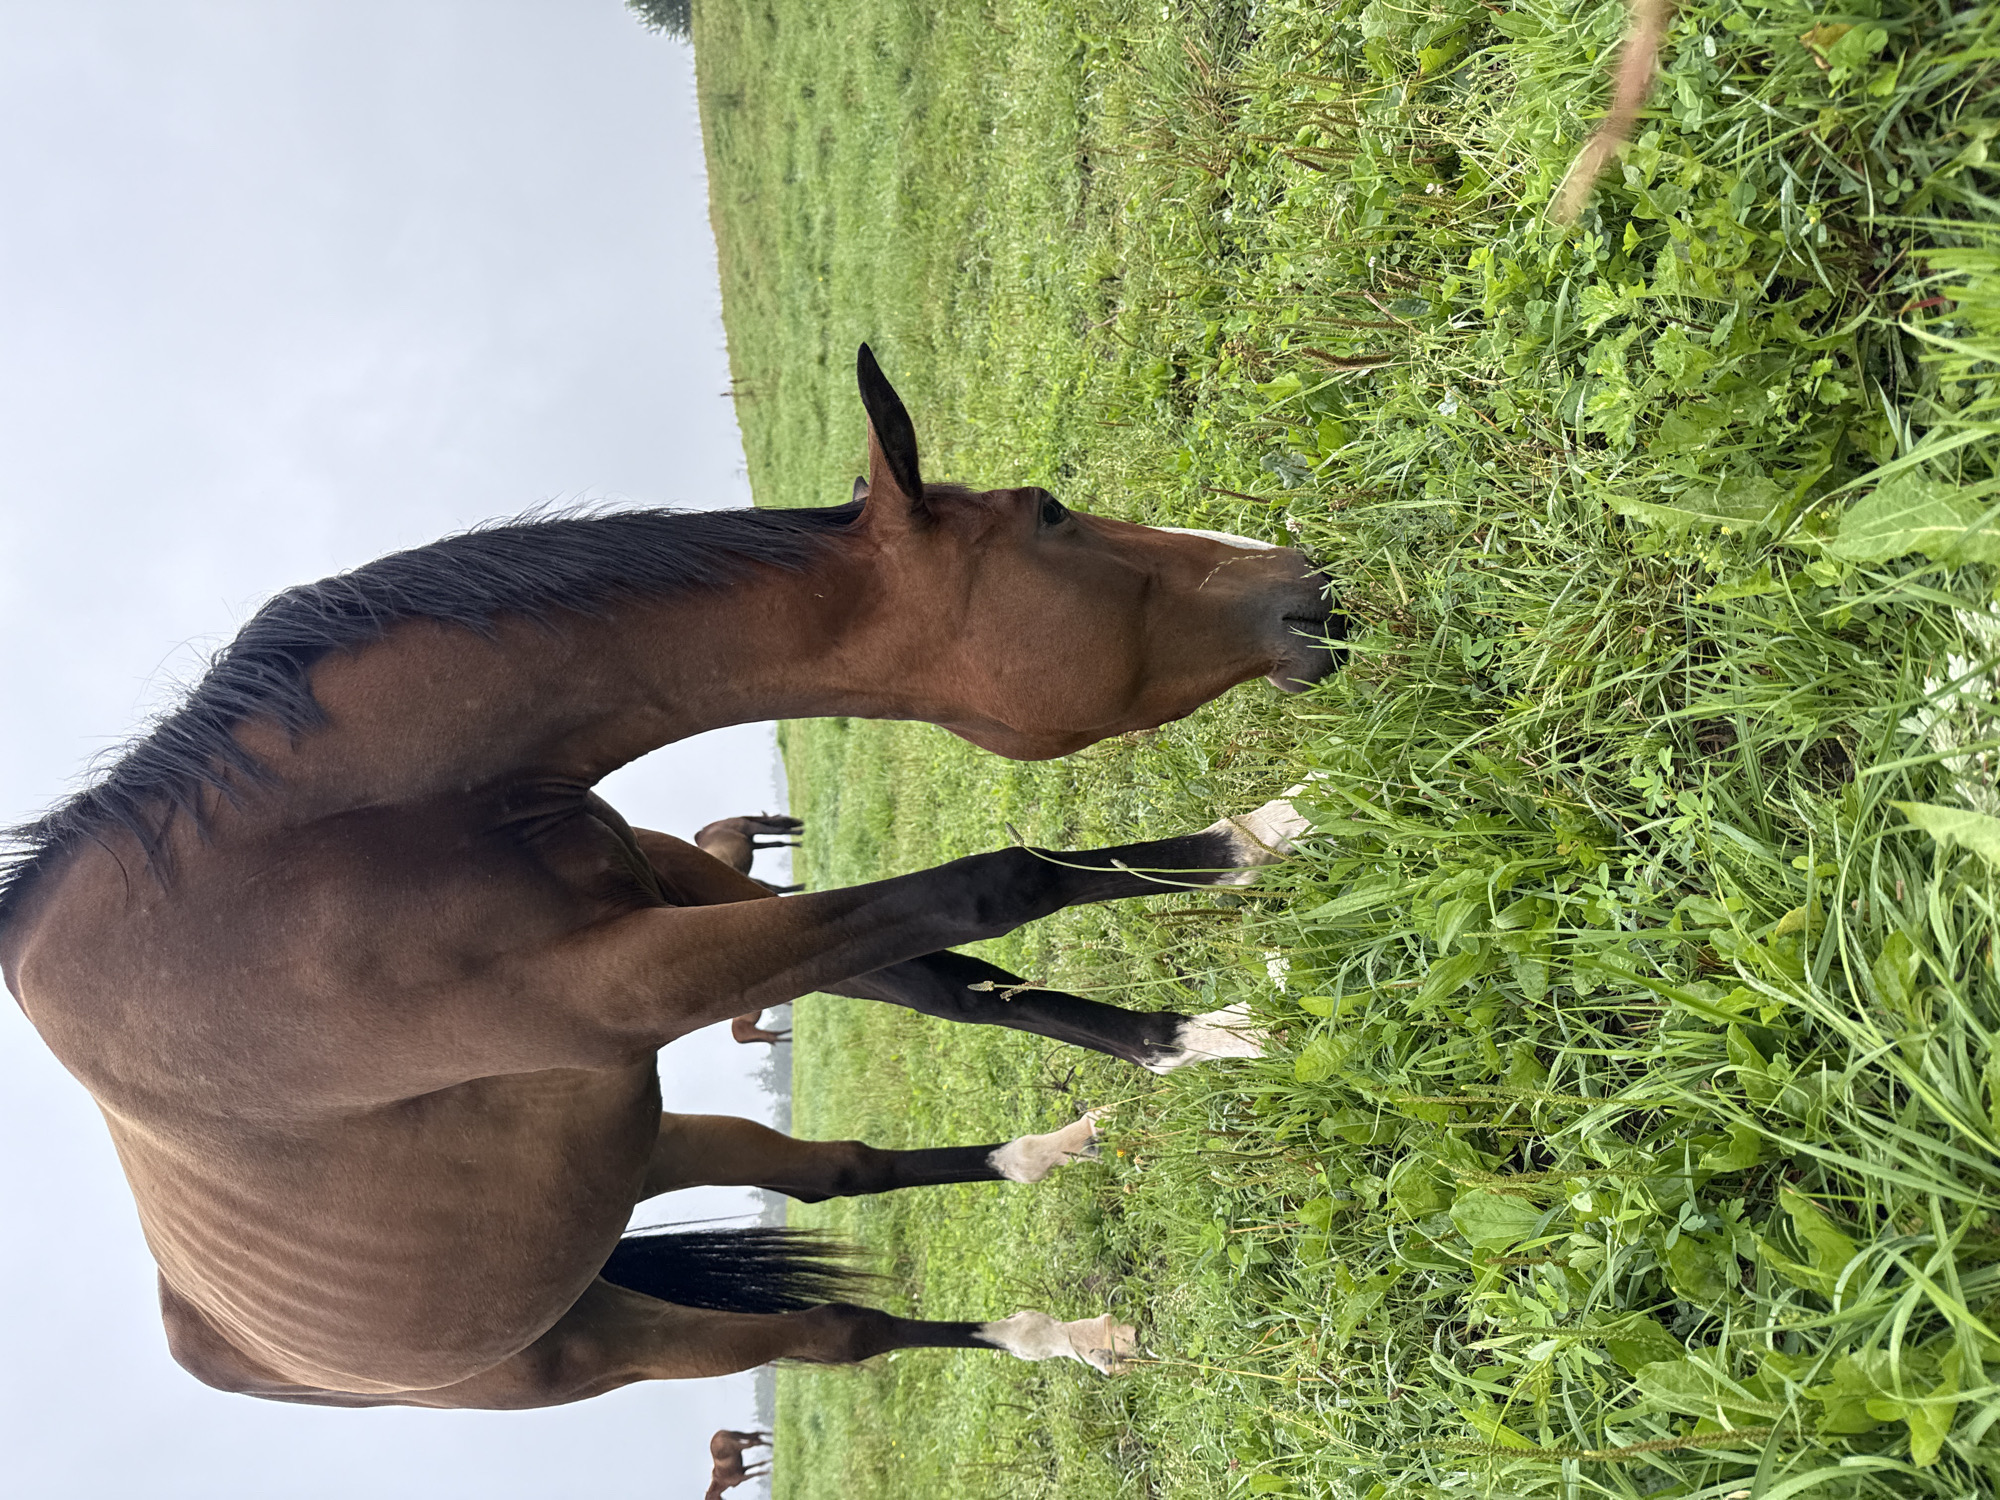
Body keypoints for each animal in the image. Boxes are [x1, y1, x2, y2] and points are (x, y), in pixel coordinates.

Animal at [0, 344, 1342, 1410]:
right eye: (1052, 513)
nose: (1307, 586)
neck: (321, 856)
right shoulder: (640, 979)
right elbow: (991, 885)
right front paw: (1230, 938)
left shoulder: (683, 894)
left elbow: (952, 980)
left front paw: (1216, 955)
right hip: (594, 1346)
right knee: (835, 1333)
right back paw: (1052, 1327)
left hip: (644, 1147)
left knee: (833, 1172)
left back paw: (1044, 1194)